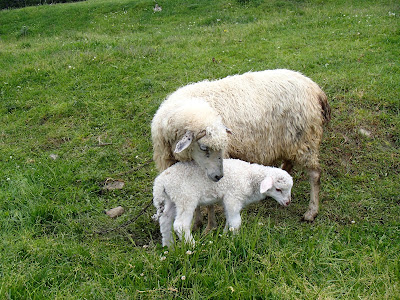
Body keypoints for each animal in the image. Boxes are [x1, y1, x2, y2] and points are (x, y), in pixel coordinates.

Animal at [152, 68, 330, 225]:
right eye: (203, 147)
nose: (218, 176)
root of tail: (314, 88)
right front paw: (197, 222)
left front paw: (208, 226)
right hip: (290, 140)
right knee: (288, 164)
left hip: (305, 139)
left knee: (315, 174)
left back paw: (311, 212)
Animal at [152, 158, 292, 247]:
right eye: (278, 189)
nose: (287, 203)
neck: (249, 178)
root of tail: (161, 181)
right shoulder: (233, 198)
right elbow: (236, 222)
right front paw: (234, 241)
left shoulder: (228, 202)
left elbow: (229, 220)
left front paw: (225, 236)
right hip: (186, 198)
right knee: (180, 225)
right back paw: (193, 246)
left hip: (172, 199)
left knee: (165, 220)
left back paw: (169, 246)